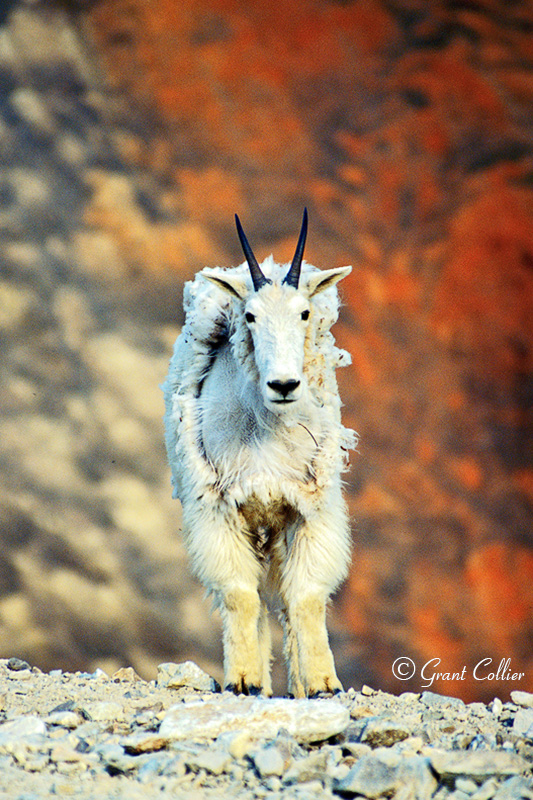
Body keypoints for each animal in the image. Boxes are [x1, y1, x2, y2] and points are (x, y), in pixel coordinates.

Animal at [160, 209, 356, 696]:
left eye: (304, 313)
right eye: (249, 315)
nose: (283, 385)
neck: (266, 430)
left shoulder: (309, 509)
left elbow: (305, 597)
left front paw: (324, 683)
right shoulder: (218, 508)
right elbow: (240, 595)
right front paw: (244, 680)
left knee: (282, 601)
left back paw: (300, 685)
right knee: (261, 601)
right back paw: (263, 681)